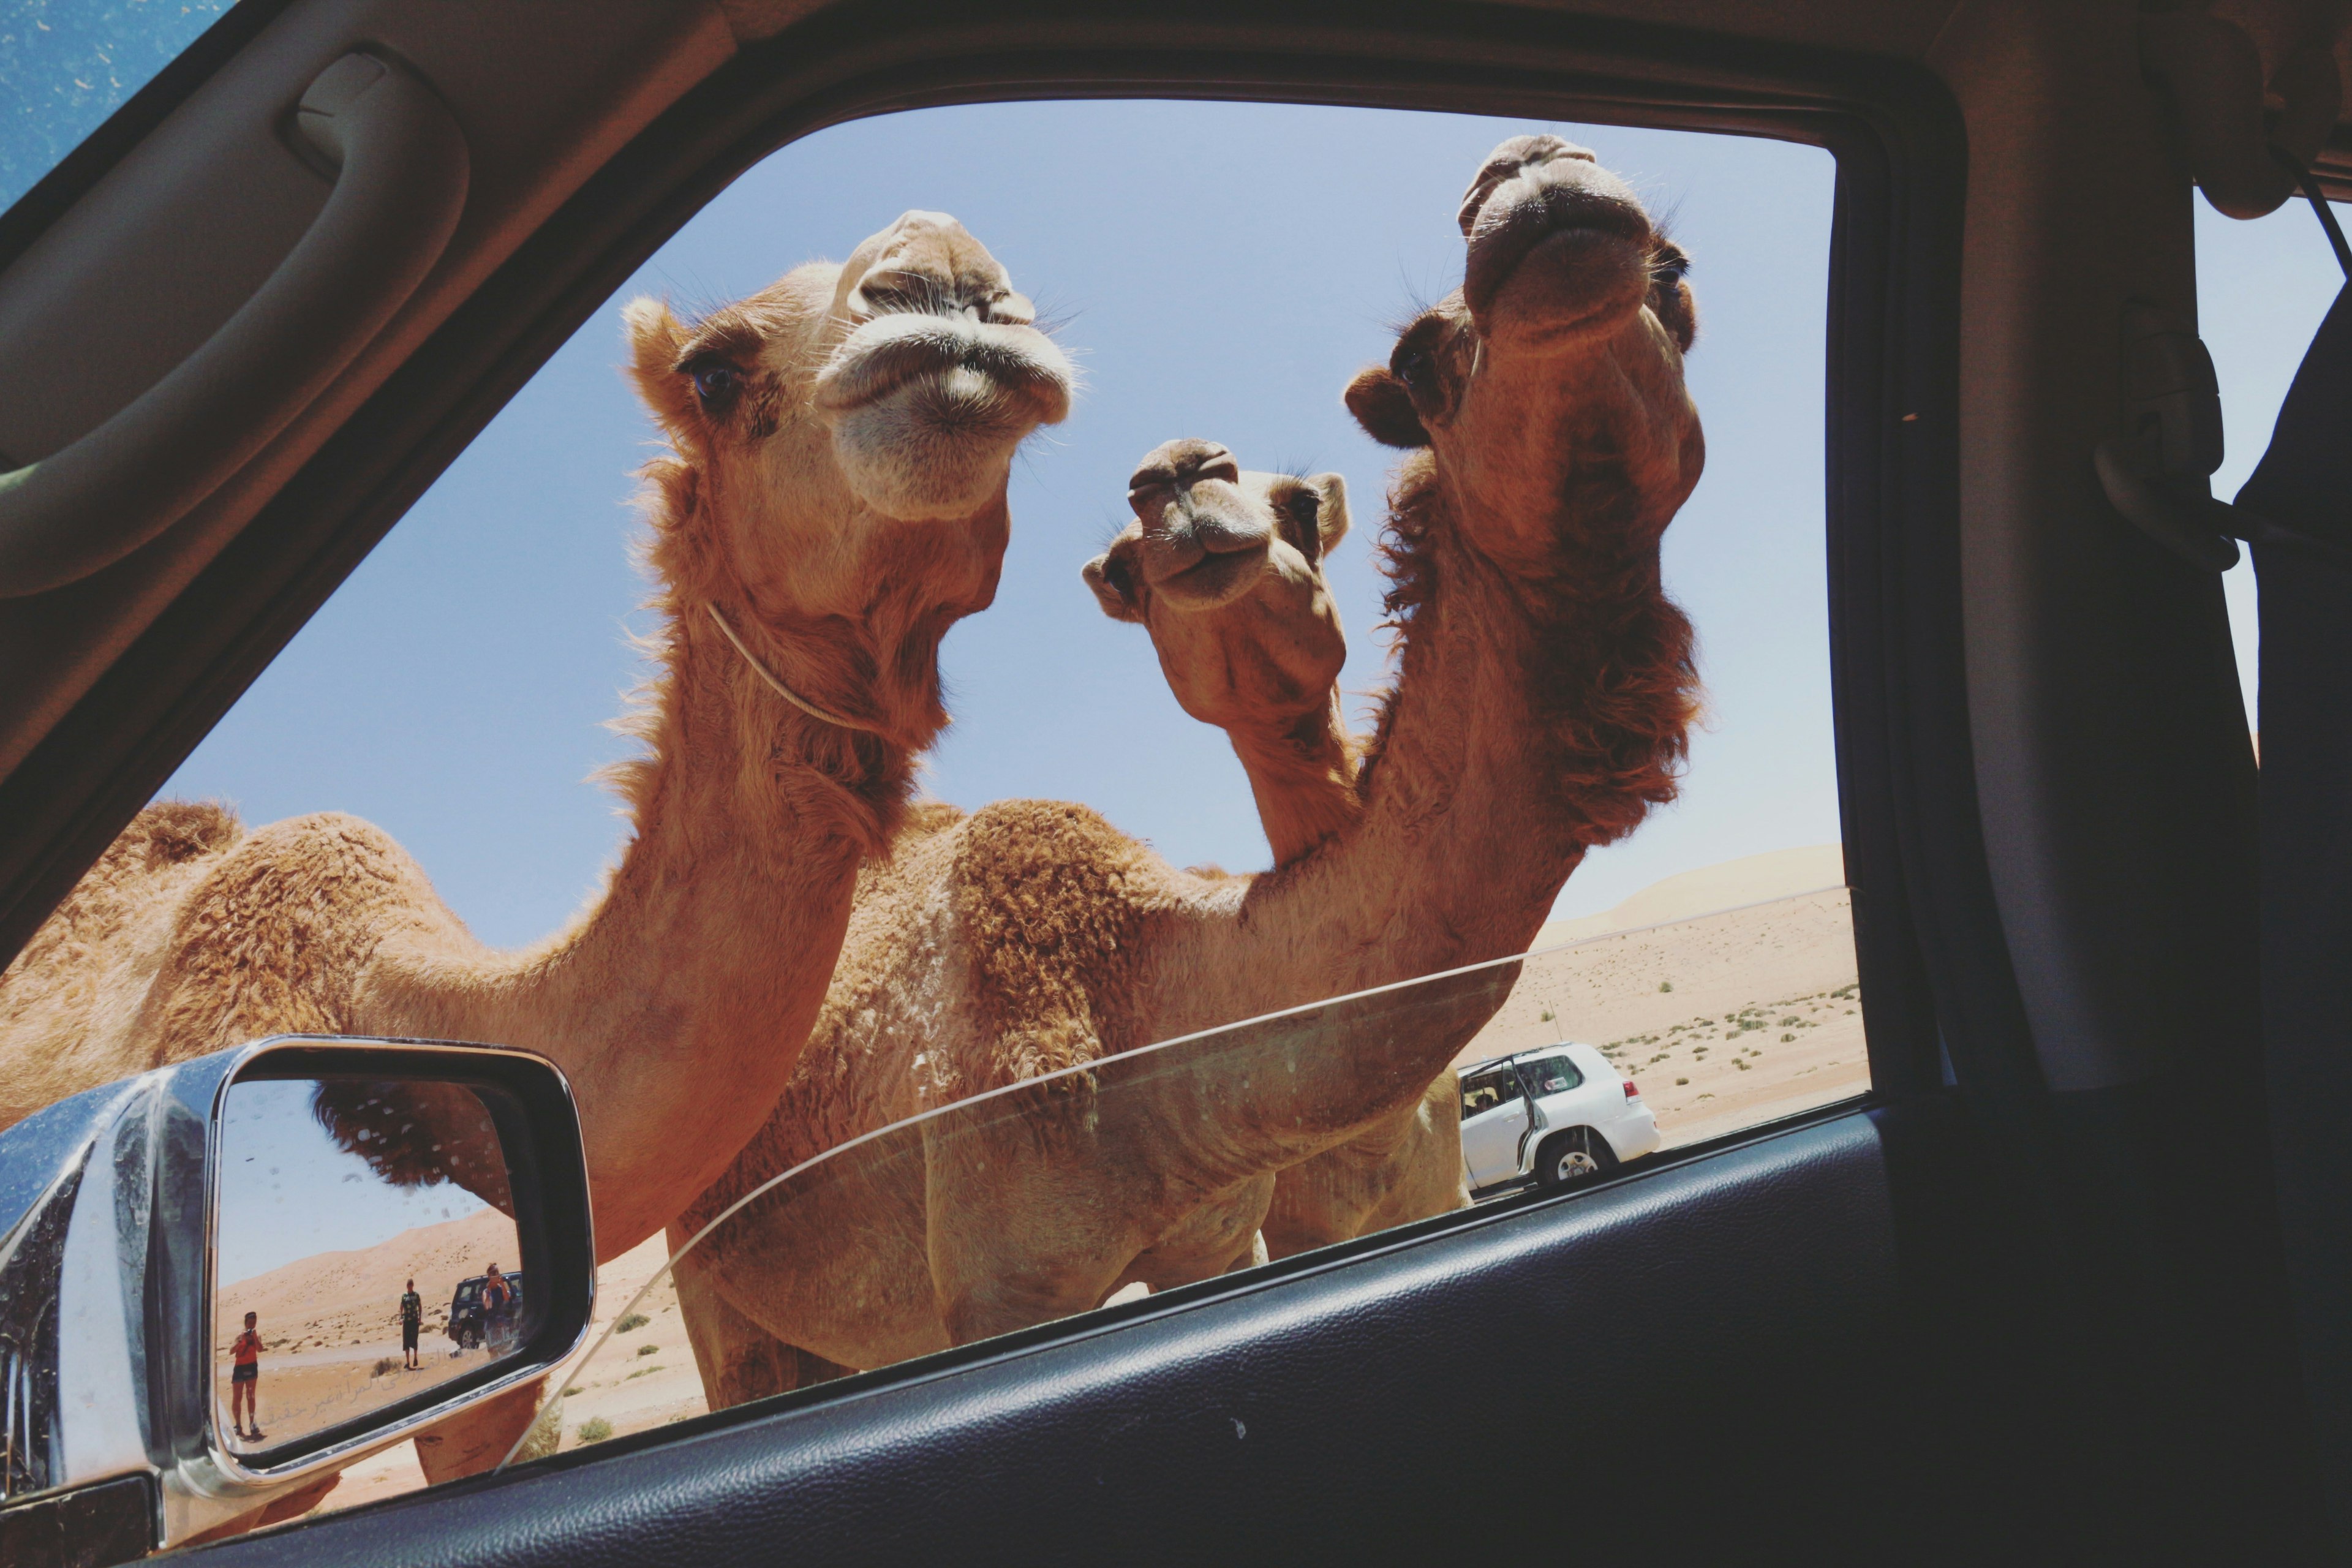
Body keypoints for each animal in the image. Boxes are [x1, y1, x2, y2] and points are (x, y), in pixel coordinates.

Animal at [668, 135, 1712, 1401]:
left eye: (1676, 275)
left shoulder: (1221, 1233)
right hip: (714, 1290)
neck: (1144, 997)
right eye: (1420, 359)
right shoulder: (1004, 1278)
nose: (1535, 174)